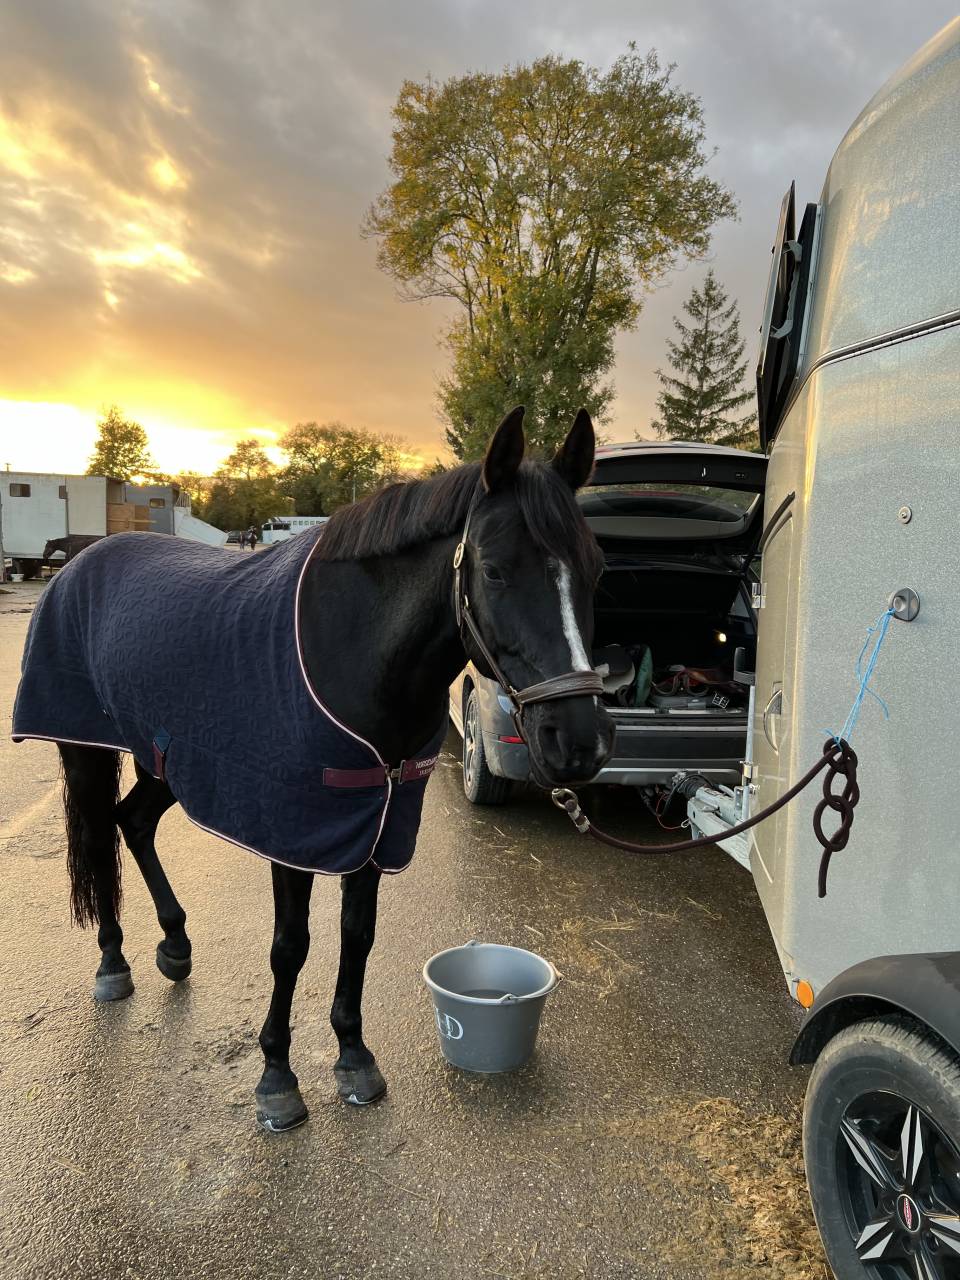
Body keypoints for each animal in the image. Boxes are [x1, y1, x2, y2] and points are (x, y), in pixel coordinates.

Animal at [12, 407, 614, 1131]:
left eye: (596, 570)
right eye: (495, 571)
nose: (579, 742)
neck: (351, 650)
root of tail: (77, 563)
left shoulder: (376, 819)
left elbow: (358, 935)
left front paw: (354, 1055)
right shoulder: (297, 828)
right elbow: (291, 946)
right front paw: (277, 1076)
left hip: (167, 758)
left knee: (133, 823)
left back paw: (175, 946)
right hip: (85, 748)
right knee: (101, 838)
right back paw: (112, 961)